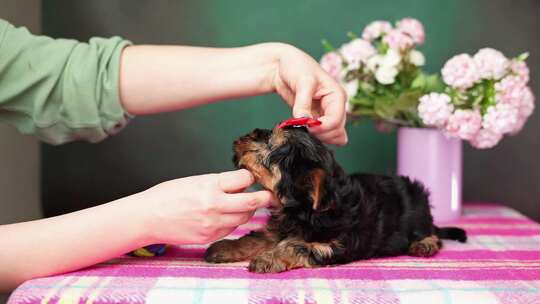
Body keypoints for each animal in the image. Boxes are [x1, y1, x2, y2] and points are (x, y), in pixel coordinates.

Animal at [205, 124, 466, 272]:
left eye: (270, 144)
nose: (244, 137)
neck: (304, 210)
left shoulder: (336, 245)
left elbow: (297, 245)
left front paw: (268, 259)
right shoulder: (278, 229)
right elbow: (257, 238)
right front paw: (224, 248)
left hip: (418, 211)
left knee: (433, 233)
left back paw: (425, 244)